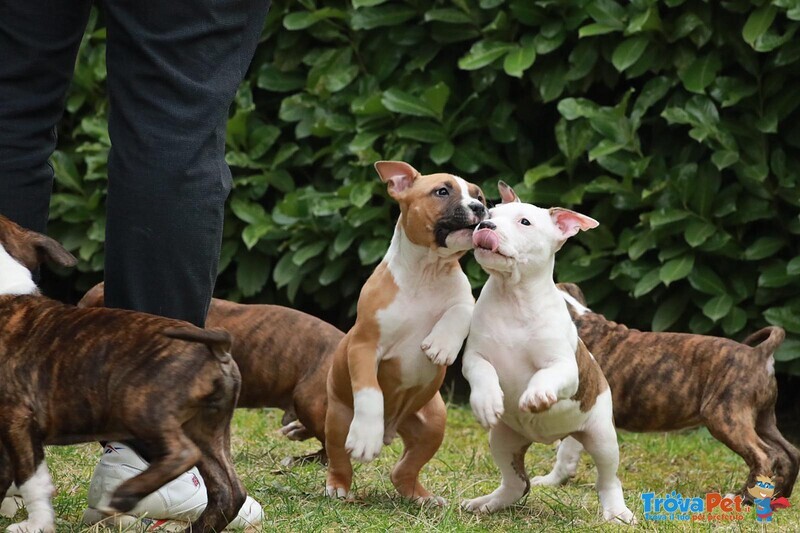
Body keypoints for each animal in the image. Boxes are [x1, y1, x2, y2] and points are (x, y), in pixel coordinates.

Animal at [460, 183, 636, 524]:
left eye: (525, 222)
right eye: (490, 213)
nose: (485, 226)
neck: (513, 296)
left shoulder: (565, 367)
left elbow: (548, 374)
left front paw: (536, 395)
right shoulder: (475, 356)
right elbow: (482, 372)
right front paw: (487, 402)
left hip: (602, 438)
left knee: (608, 479)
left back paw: (617, 511)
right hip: (503, 439)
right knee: (517, 483)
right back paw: (488, 502)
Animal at [552, 282, 800, 498]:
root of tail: (759, 353)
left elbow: (566, 452)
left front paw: (549, 481)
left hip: (725, 416)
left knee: (765, 456)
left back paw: (745, 498)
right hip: (762, 419)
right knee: (789, 452)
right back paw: (776, 497)